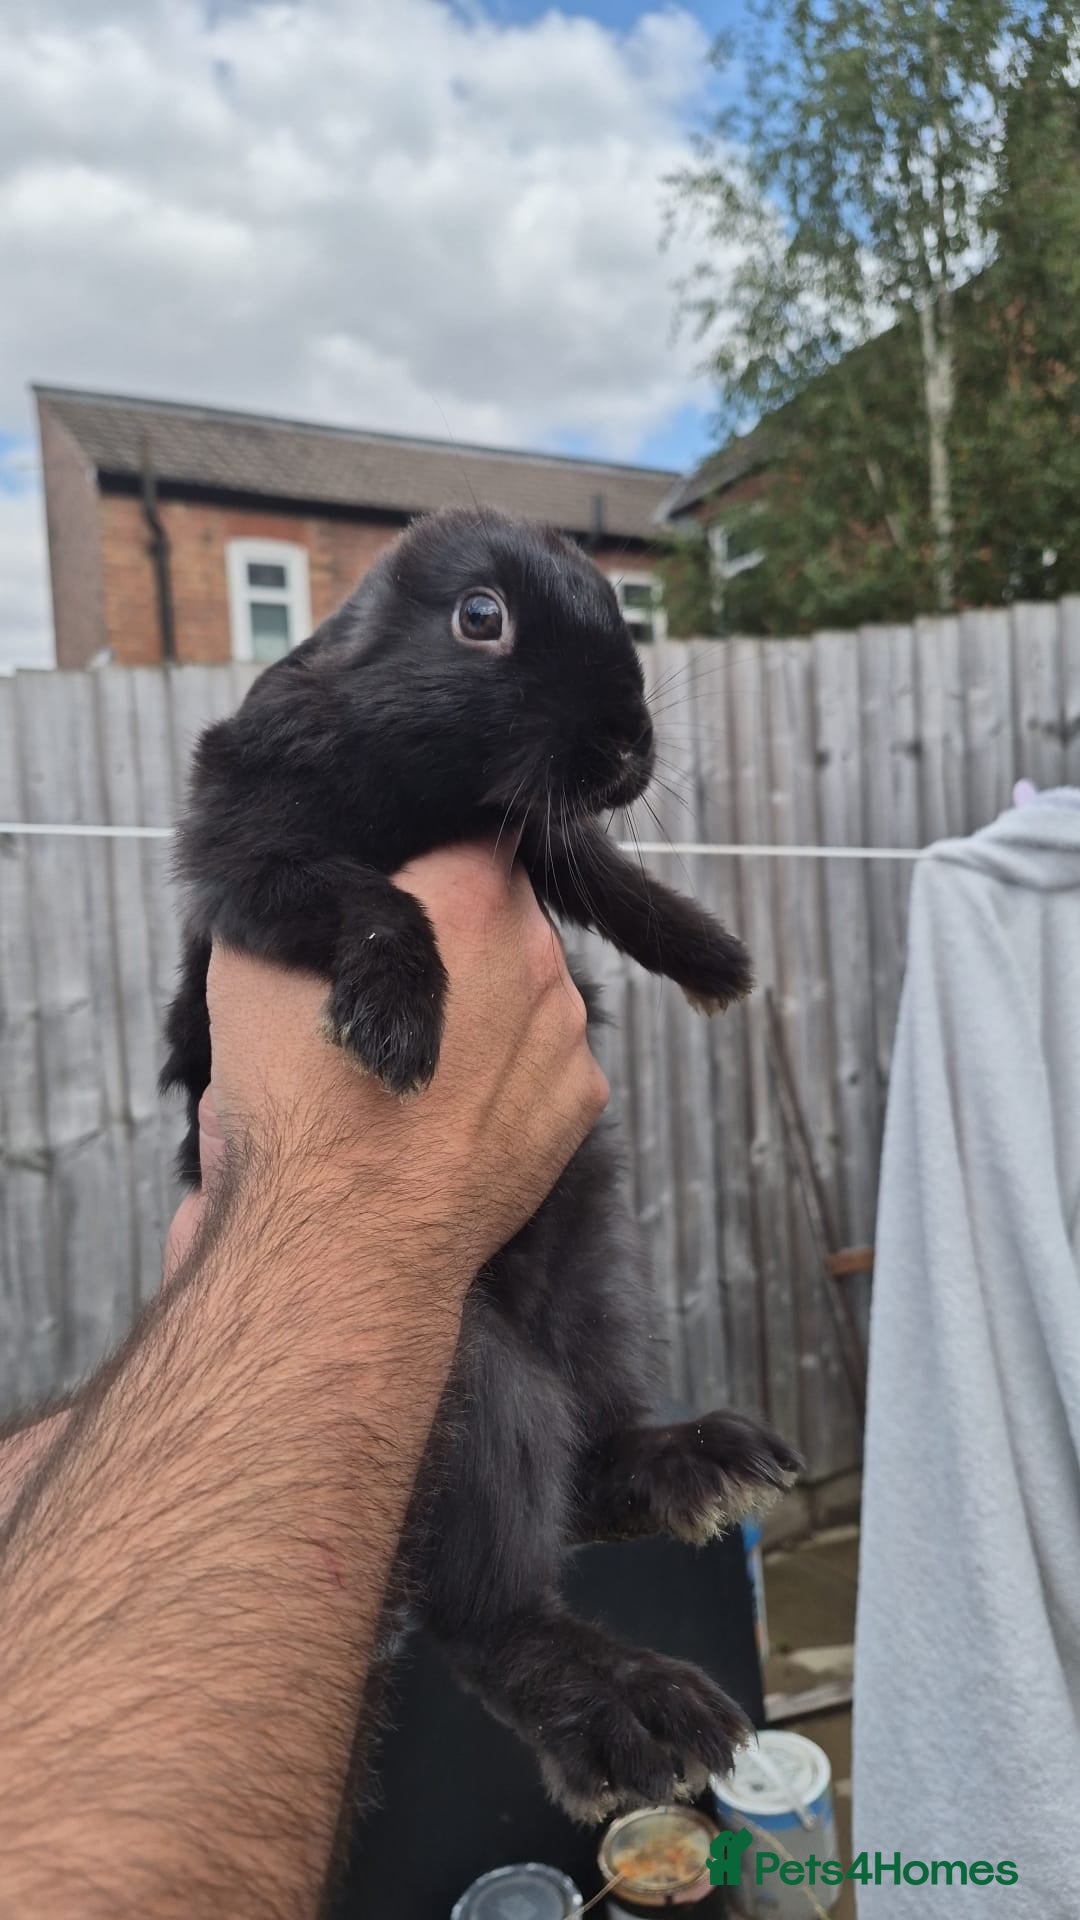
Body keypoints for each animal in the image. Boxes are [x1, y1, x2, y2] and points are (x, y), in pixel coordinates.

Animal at [161, 505, 801, 1823]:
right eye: (480, 618)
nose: (626, 747)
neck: (424, 786)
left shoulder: (533, 834)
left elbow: (593, 867)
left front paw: (710, 958)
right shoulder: (251, 855)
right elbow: (367, 899)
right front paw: (398, 1025)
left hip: (596, 1282)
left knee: (592, 1465)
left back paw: (699, 1465)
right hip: (477, 1385)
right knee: (489, 1615)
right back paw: (627, 1711)